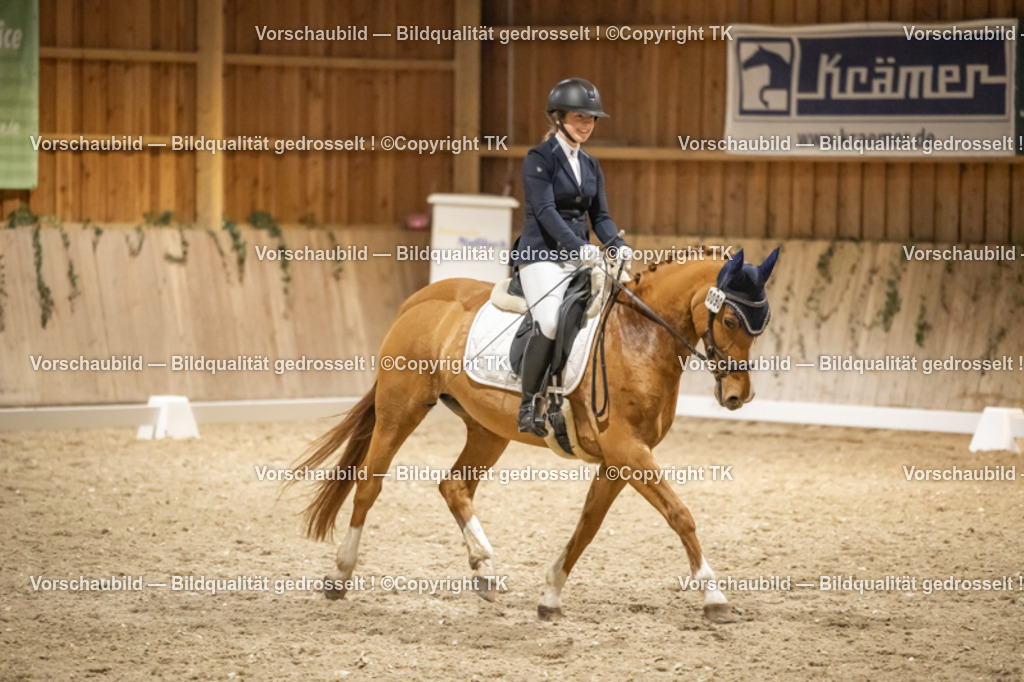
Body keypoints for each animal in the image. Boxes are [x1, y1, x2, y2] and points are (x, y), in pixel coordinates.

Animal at [290, 247, 780, 623]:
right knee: (369, 484)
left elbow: (588, 525)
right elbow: (680, 515)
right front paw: (713, 596)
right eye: (731, 321)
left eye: (762, 326)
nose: (738, 396)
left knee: (454, 485)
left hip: (488, 430)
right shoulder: (628, 450)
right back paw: (340, 575)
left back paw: (485, 568)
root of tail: (417, 300)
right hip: (401, 409)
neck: (640, 335)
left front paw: (550, 597)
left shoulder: (618, 459)